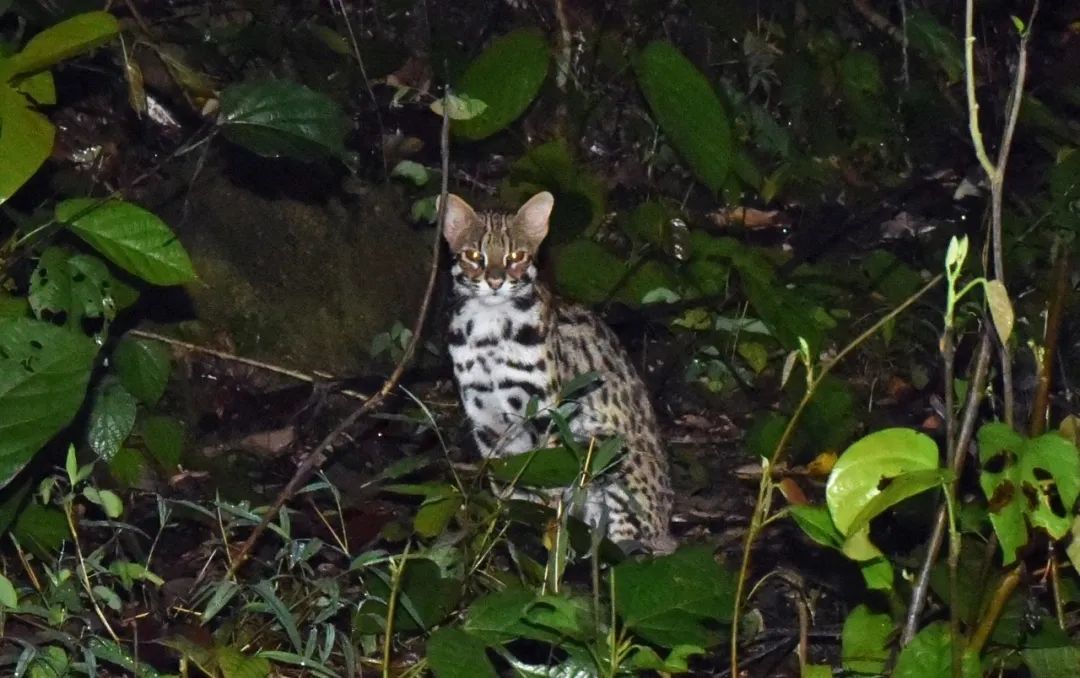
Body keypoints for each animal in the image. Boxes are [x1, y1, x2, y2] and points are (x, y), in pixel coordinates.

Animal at [442, 188, 669, 550]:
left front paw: (546, 534)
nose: (495, 281)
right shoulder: (487, 421)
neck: (489, 330)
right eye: (474, 256)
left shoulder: (547, 412)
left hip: (613, 457)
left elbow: (546, 483)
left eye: (516, 256)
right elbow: (508, 486)